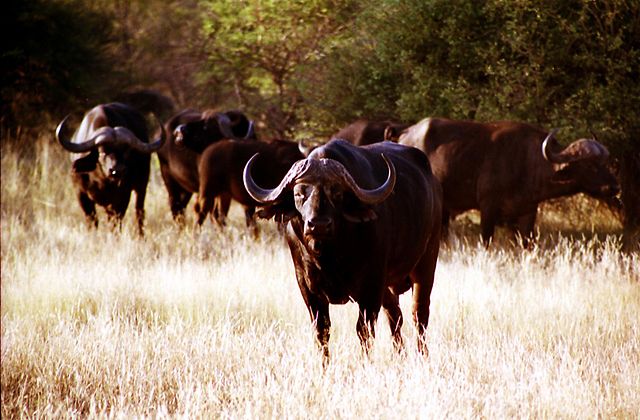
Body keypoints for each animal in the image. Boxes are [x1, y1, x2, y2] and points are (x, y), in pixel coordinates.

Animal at [55, 102, 166, 235]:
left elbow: (116, 221)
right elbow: (91, 220)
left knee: (139, 212)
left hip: (141, 186)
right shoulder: (81, 193)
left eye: (127, 152)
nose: (117, 170)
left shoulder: (123, 195)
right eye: (102, 152)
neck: (102, 181)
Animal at [244, 139, 442, 361]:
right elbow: (322, 331)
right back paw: (400, 356)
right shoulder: (307, 288)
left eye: (337, 193)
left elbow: (364, 330)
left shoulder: (371, 286)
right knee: (395, 315)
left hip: (426, 264)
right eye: (298, 193)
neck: (329, 257)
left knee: (419, 314)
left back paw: (423, 356)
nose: (318, 225)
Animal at [398, 118, 619, 246]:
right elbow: (486, 241)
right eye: (589, 165)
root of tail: (404, 136)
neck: (528, 162)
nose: (614, 186)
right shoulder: (488, 207)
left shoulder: (528, 212)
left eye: (605, 163)